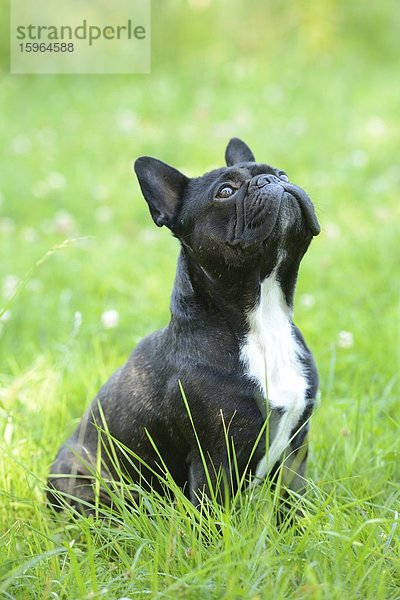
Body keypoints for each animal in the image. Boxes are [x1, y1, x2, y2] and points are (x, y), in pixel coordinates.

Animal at [49, 139, 318, 510]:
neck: (264, 321)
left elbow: (292, 504)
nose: (273, 181)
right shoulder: (215, 461)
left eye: (283, 174)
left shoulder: (296, 450)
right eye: (225, 191)